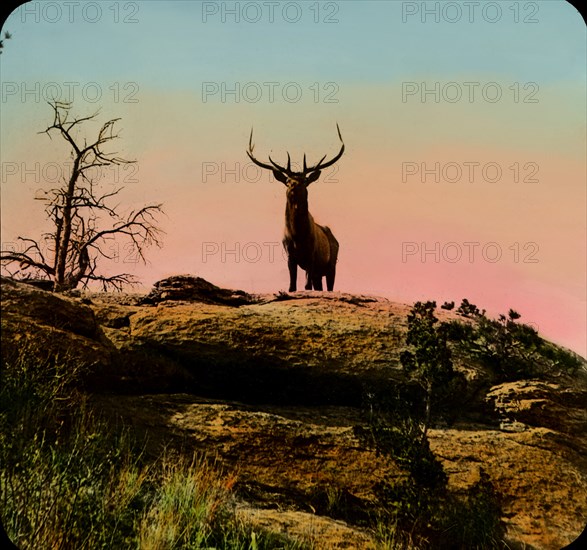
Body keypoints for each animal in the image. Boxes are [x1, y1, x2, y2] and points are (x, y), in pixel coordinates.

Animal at [247, 125, 344, 294]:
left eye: (305, 180)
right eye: (287, 180)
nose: (293, 184)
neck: (298, 235)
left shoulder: (312, 254)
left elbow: (306, 286)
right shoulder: (289, 255)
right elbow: (292, 286)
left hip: (332, 264)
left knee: (329, 287)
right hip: (318, 271)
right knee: (318, 286)